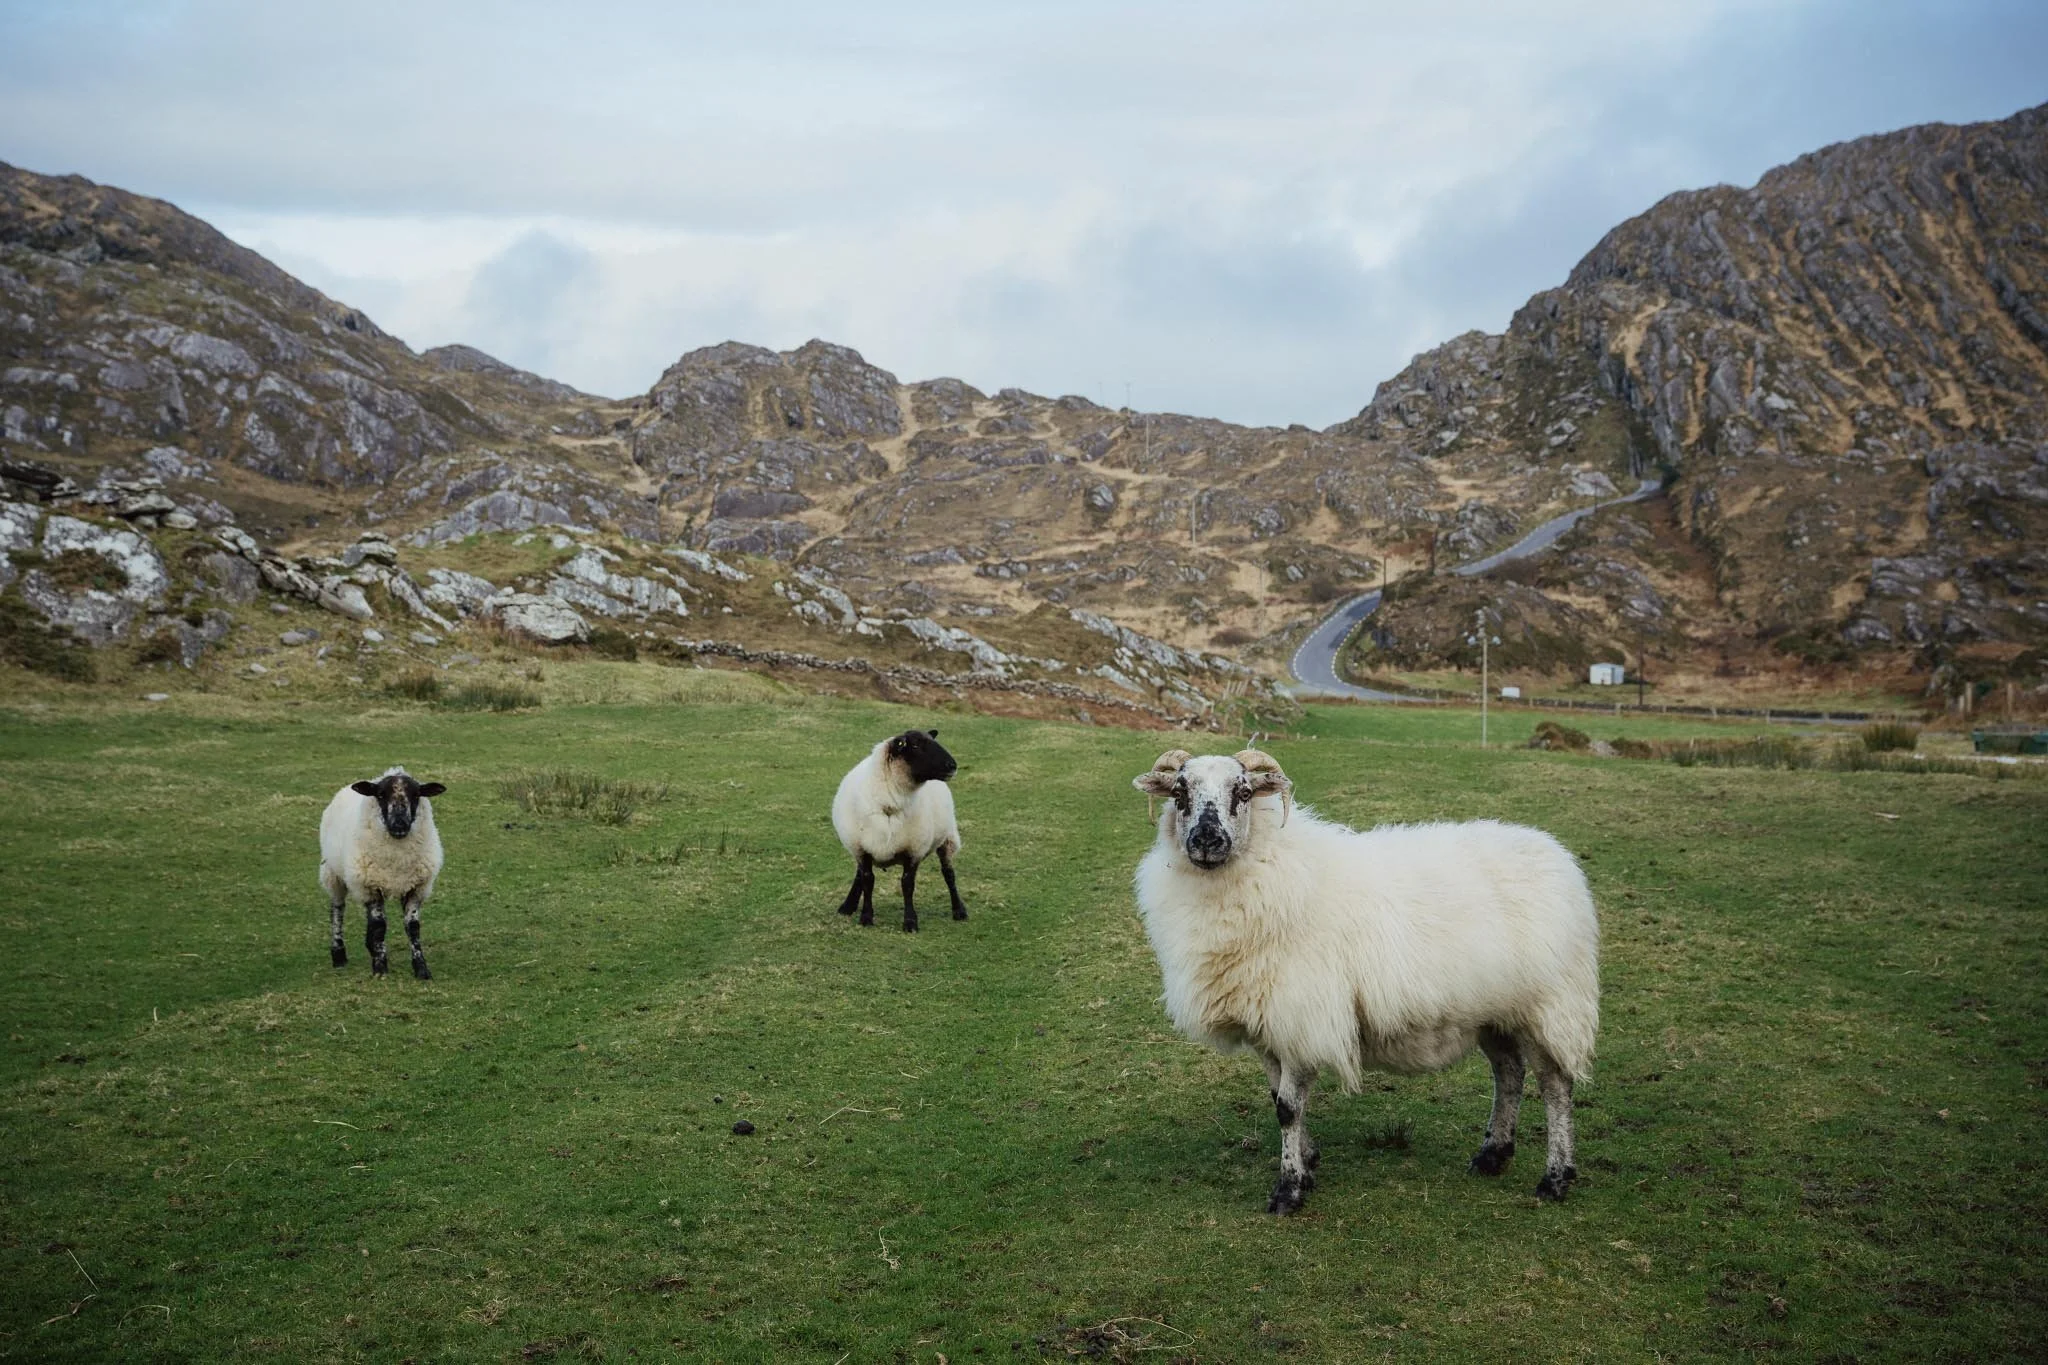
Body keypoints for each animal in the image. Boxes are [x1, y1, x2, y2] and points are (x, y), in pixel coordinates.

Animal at [319, 767, 447, 978]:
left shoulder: (416, 887)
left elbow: (412, 927)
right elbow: (379, 926)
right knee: (337, 910)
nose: (399, 824)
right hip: (333, 874)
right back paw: (338, 955)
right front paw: (380, 968)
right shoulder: (371, 886)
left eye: (416, 794)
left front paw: (421, 968)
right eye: (380, 794)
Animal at [831, 728, 965, 932]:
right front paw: (866, 917)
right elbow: (867, 880)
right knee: (859, 876)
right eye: (915, 745)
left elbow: (907, 885)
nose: (953, 766)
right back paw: (848, 906)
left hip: (947, 838)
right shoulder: (861, 848)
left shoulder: (913, 850)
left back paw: (959, 910)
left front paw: (910, 922)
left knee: (949, 874)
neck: (890, 803)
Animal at [1131, 748, 1599, 1212]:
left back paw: (1555, 1177)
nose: (1207, 840)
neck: (1271, 868)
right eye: (1179, 792)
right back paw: (1493, 1155)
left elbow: (1287, 1108)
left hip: (1548, 1005)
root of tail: (1556, 856)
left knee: (1555, 1085)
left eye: (1243, 792)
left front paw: (1289, 1189)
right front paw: (1308, 1161)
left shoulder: (1303, 1015)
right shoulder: (1268, 1022)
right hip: (1494, 1010)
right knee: (1509, 1073)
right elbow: (1278, 1099)